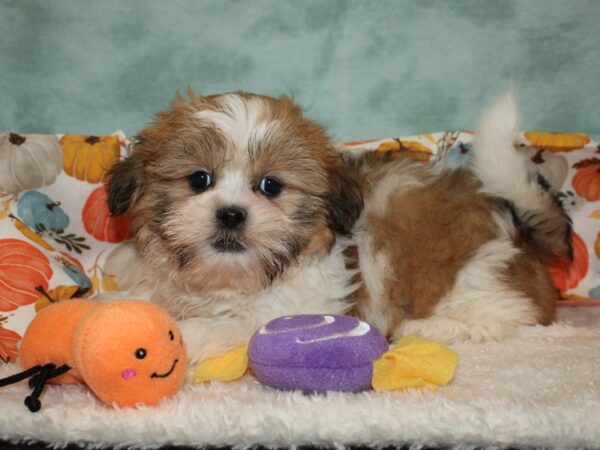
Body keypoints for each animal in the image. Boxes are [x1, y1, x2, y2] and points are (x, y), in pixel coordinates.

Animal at [105, 90, 568, 366]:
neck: (232, 279)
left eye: (270, 186)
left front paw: (178, 335)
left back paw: (431, 327)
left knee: (507, 314)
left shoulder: (294, 308)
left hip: (474, 275)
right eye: (199, 179)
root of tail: (515, 225)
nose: (231, 214)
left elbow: (230, 326)